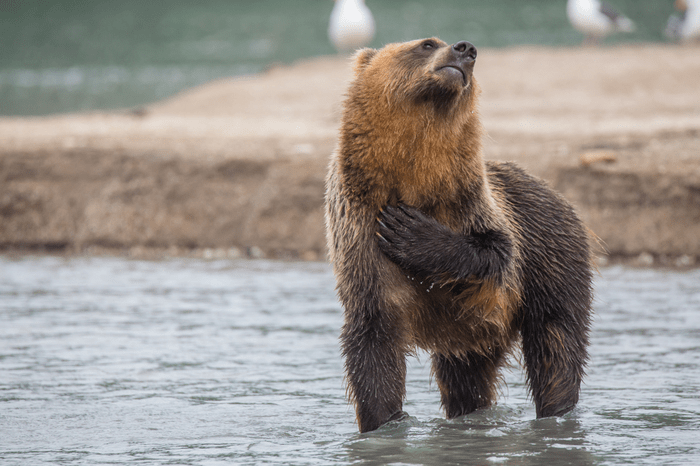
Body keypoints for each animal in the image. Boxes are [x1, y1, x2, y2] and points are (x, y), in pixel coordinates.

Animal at [326, 37, 592, 434]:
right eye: (426, 44)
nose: (465, 49)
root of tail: (559, 195)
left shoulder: (472, 203)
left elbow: (493, 252)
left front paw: (409, 230)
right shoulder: (359, 227)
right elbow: (374, 339)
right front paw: (384, 421)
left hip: (551, 262)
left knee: (556, 347)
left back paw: (556, 411)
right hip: (469, 336)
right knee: (466, 378)